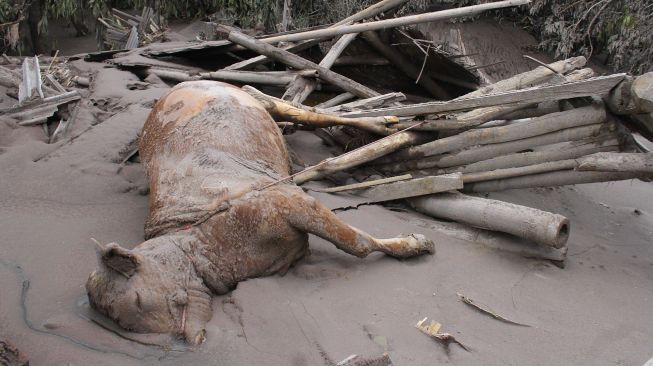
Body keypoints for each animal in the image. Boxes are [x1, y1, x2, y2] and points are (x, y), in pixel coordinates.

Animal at [85, 80, 432, 344]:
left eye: (139, 301)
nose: (190, 339)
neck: (202, 244)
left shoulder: (290, 201)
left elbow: (357, 244)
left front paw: (413, 244)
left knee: (303, 111)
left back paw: (388, 122)